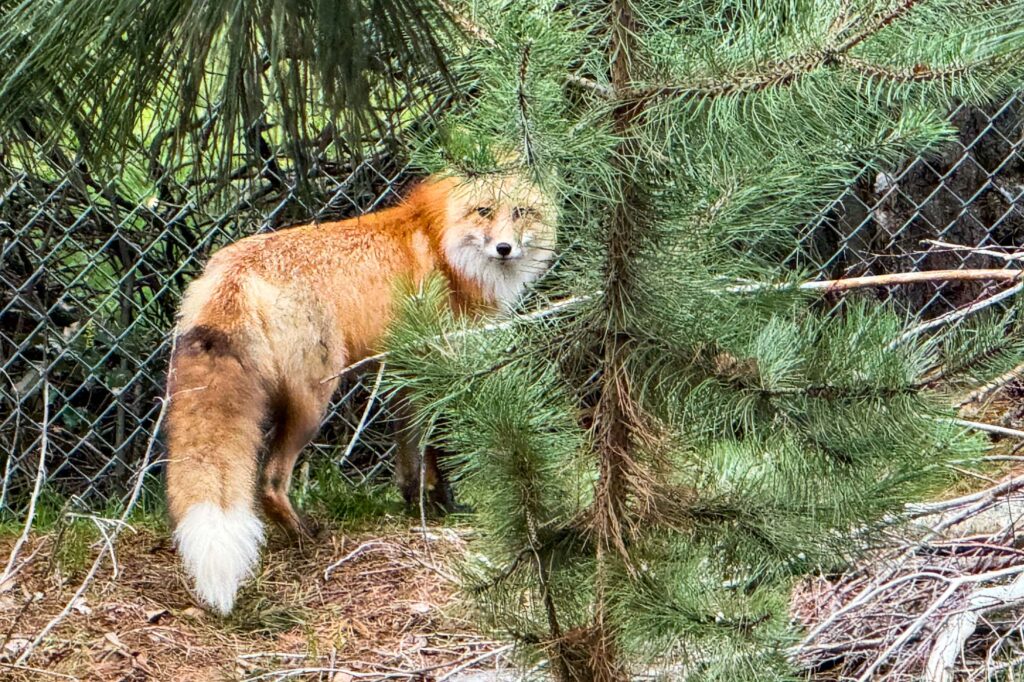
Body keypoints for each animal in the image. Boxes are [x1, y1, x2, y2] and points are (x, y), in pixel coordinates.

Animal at [164, 167, 557, 615]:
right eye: (484, 211)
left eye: (521, 211)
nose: (504, 248)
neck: (442, 246)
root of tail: (235, 269)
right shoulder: (442, 365)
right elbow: (436, 448)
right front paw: (446, 505)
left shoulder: (407, 374)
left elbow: (410, 453)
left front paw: (415, 502)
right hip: (314, 404)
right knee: (269, 481)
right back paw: (305, 535)